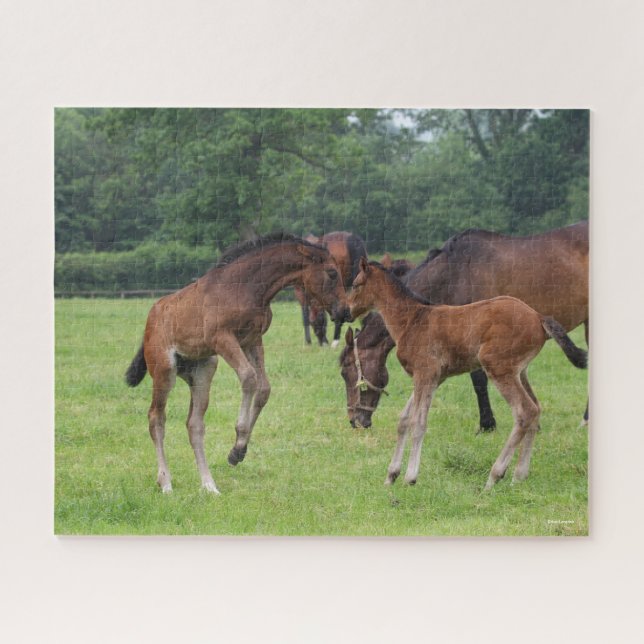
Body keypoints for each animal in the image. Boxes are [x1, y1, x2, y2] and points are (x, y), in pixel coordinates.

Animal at [125, 233, 349, 494]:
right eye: (332, 273)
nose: (345, 311)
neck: (244, 287)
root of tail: (150, 320)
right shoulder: (222, 338)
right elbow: (249, 378)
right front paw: (239, 441)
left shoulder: (252, 339)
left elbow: (264, 388)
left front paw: (237, 452)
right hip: (164, 370)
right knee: (156, 418)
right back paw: (166, 483)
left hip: (203, 370)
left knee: (194, 424)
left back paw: (209, 485)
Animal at [348, 259, 588, 489]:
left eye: (356, 284)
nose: (349, 310)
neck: (412, 319)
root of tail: (538, 317)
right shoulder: (434, 378)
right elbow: (404, 420)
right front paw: (391, 475)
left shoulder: (424, 373)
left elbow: (418, 422)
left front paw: (410, 477)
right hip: (520, 372)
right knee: (536, 410)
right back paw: (518, 476)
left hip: (498, 367)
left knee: (525, 411)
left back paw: (494, 477)